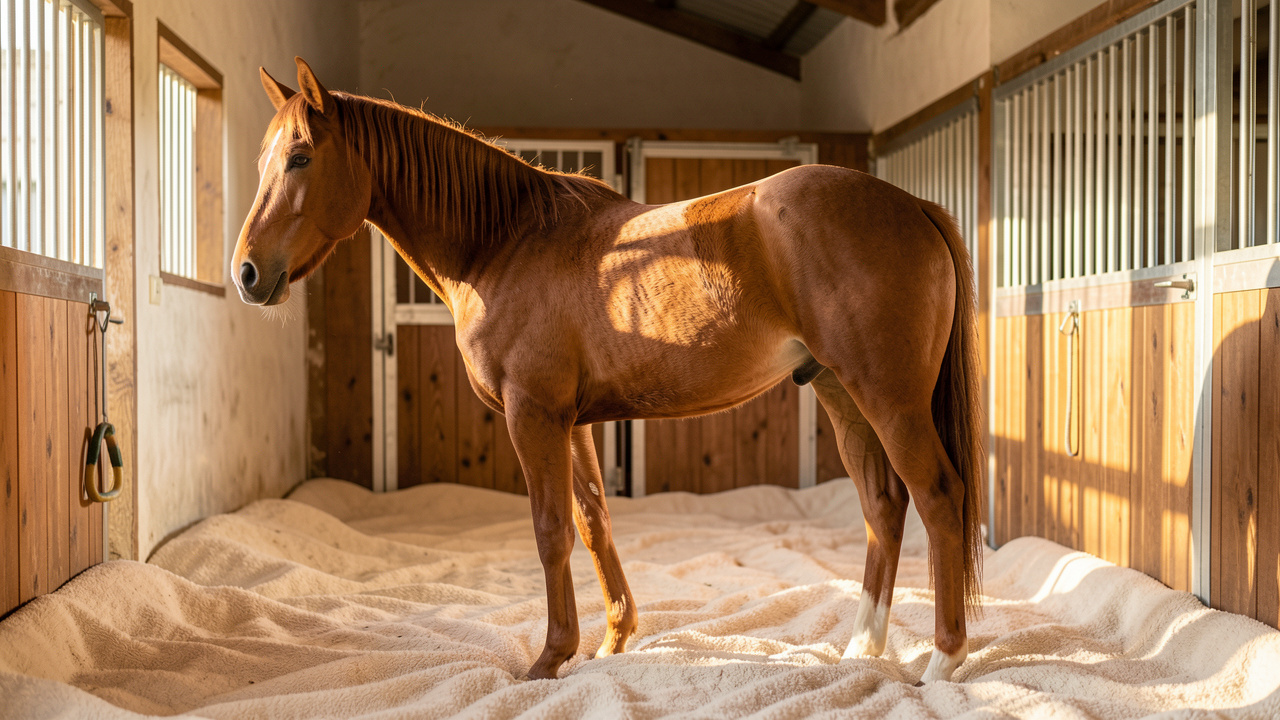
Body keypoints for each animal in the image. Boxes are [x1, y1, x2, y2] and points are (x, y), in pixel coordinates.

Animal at [234, 57, 985, 685]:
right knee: (882, 505)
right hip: (838, 391)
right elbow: (593, 520)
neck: (502, 243)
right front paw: (611, 641)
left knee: (937, 496)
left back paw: (944, 660)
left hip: (889, 399)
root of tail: (912, 205)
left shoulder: (532, 413)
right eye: (266, 158)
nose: (245, 274)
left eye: (300, 156)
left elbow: (550, 529)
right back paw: (863, 649)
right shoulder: (571, 422)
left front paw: (549, 658)